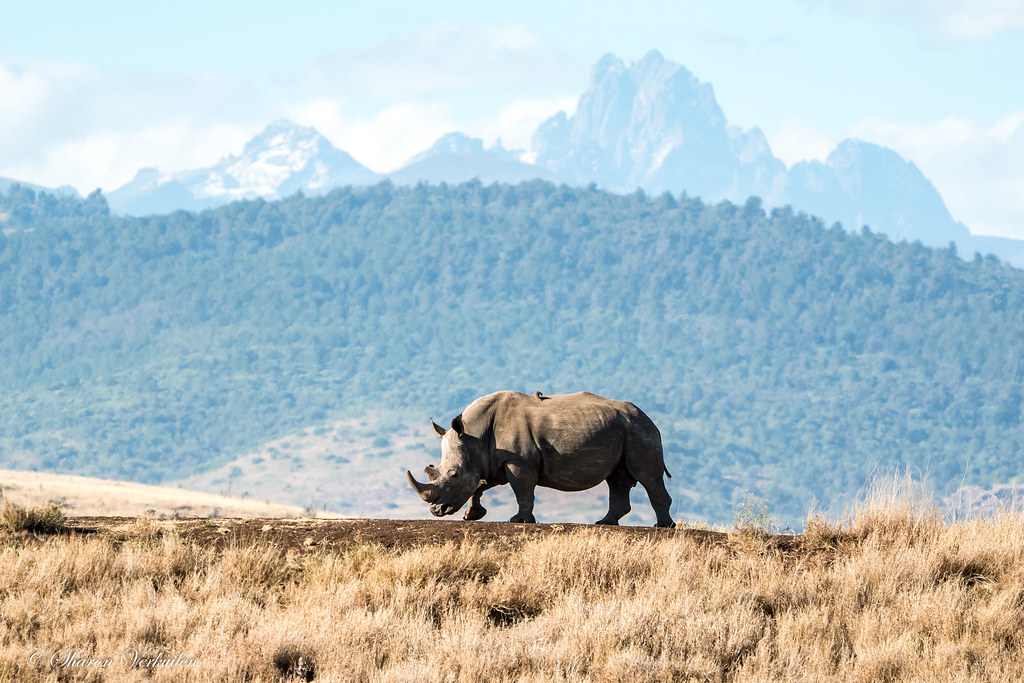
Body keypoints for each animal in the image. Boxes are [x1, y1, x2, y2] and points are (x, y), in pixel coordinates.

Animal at [406, 390, 674, 527]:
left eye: (453, 475)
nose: (437, 511)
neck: (473, 435)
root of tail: (648, 418)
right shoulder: (492, 461)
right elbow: (479, 486)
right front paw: (471, 515)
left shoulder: (518, 462)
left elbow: (522, 490)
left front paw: (519, 521)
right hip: (623, 429)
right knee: (616, 479)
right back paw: (604, 523)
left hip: (638, 430)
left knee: (647, 477)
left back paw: (663, 526)